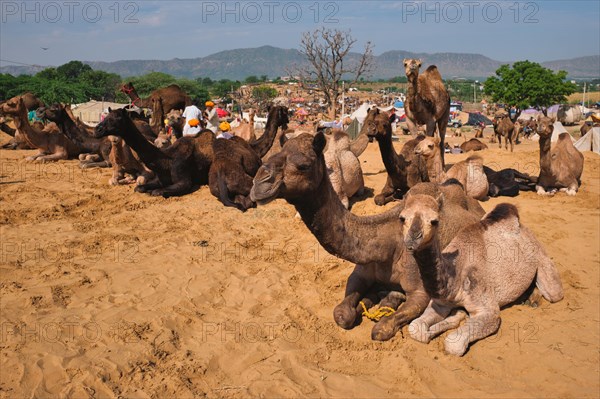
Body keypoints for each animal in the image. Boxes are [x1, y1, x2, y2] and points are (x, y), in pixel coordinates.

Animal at [251, 133, 486, 342]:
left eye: (303, 165)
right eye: (273, 154)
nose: (258, 184)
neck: (386, 244)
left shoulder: (420, 290)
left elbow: (381, 330)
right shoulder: (359, 274)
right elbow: (342, 314)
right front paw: (367, 300)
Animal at [404, 197, 564, 356]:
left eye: (434, 221)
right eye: (402, 218)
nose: (413, 238)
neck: (455, 277)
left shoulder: (488, 309)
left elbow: (453, 344)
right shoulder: (440, 303)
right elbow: (415, 328)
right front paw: (452, 318)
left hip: (541, 258)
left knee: (553, 293)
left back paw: (533, 299)